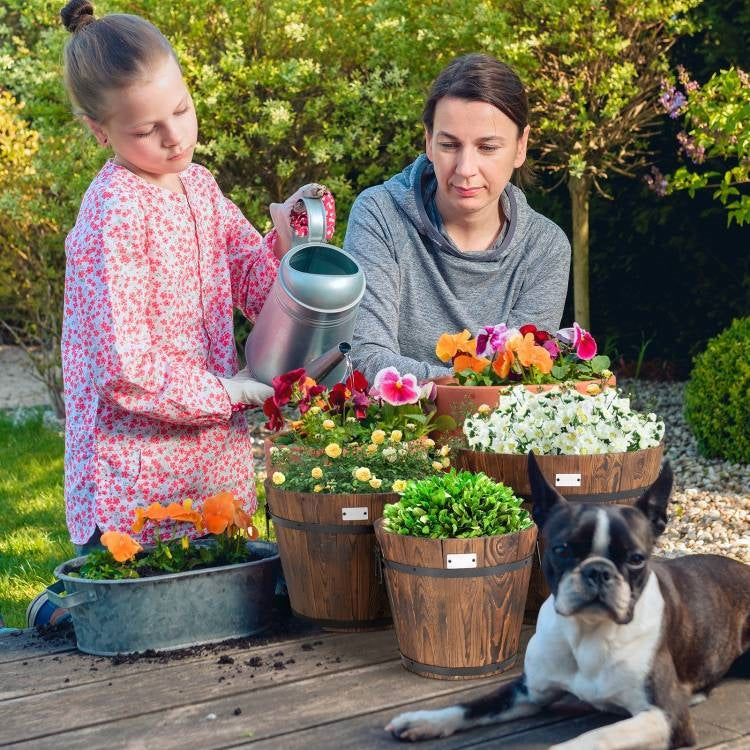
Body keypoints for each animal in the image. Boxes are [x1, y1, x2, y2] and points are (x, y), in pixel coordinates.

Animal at [388, 456, 750, 748]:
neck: (588, 632)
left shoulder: (667, 717)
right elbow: (475, 705)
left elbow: (595, 738)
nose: (598, 571)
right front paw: (424, 720)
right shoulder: (529, 691)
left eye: (636, 559)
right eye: (562, 550)